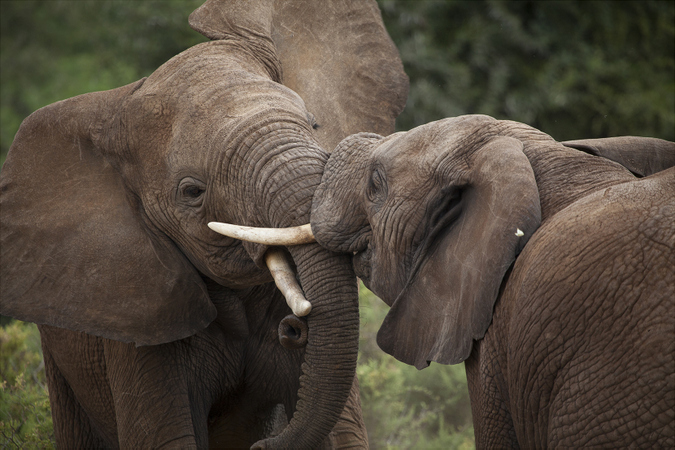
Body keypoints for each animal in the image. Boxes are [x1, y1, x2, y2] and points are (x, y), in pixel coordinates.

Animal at [0, 1, 406, 448]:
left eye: (315, 125)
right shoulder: (140, 306)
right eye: (192, 192)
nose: (294, 328)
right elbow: (165, 437)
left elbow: (344, 433)